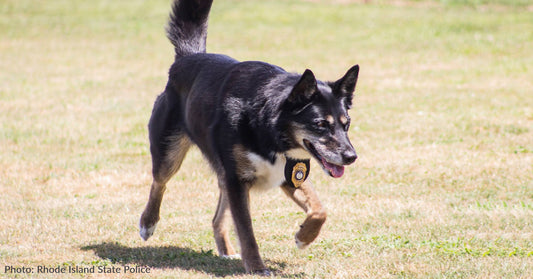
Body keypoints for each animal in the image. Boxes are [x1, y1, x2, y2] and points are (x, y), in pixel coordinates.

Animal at [139, 0, 360, 276]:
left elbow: (320, 209)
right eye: (320, 124)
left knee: (216, 217)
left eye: (346, 124)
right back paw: (147, 224)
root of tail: (189, 57)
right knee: (159, 183)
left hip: (224, 175)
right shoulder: (239, 180)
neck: (268, 125)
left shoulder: (289, 173)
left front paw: (304, 237)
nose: (351, 157)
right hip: (170, 153)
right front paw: (256, 267)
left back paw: (225, 250)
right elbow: (247, 231)